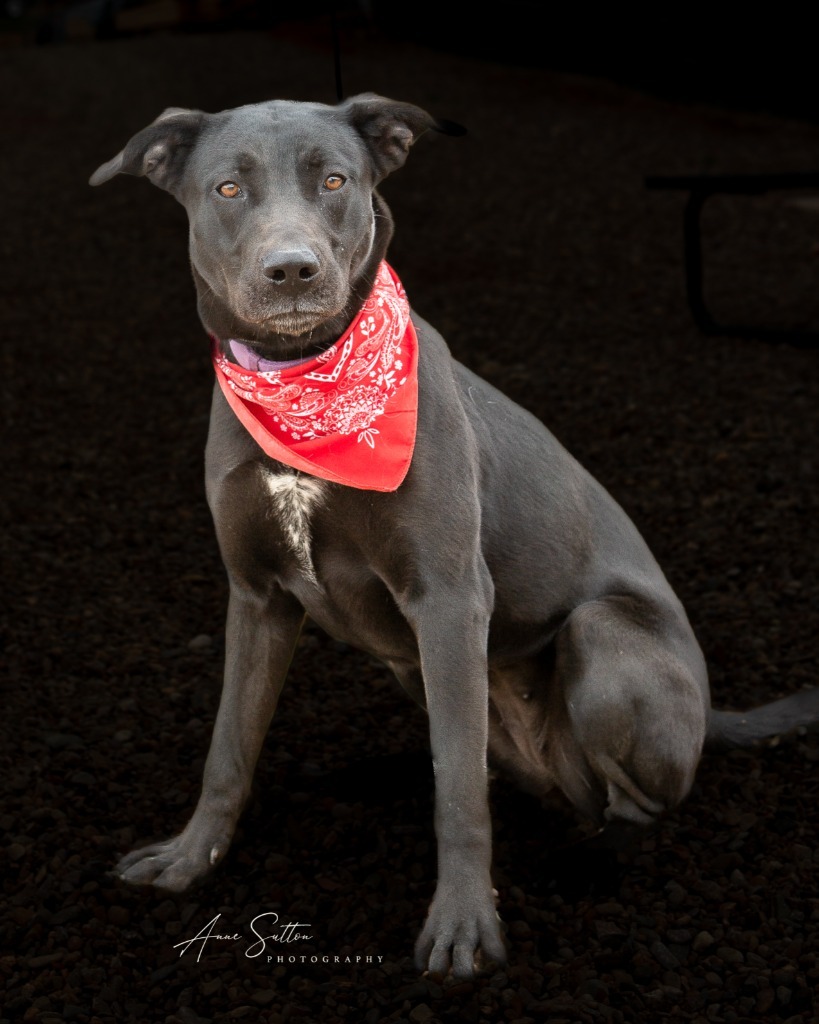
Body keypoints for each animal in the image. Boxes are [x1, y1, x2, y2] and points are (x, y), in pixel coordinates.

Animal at [89, 94, 818, 974]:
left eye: (334, 180)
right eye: (228, 188)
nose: (292, 270)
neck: (308, 383)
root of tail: (708, 716)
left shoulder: (448, 600)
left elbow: (459, 795)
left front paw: (465, 924)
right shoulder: (256, 597)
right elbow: (229, 746)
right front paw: (190, 858)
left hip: (600, 637)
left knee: (623, 799)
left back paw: (590, 858)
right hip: (412, 664)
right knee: (484, 760)